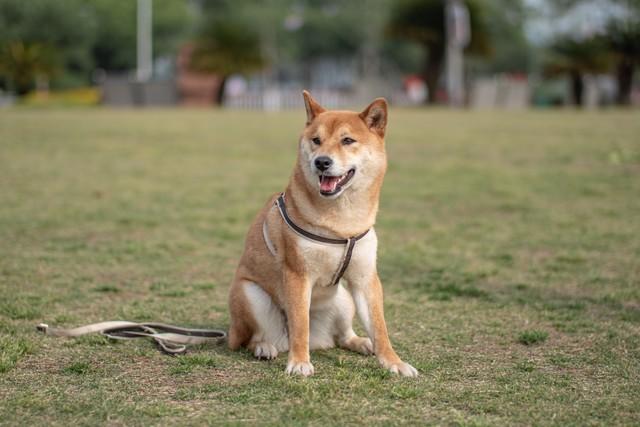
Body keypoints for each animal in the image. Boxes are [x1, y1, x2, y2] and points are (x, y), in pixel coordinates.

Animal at [228, 91, 418, 378]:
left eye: (347, 140)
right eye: (316, 140)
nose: (322, 161)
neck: (343, 220)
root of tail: (320, 341)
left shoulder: (365, 278)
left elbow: (380, 327)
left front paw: (393, 362)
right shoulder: (298, 275)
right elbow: (299, 325)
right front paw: (299, 362)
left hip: (345, 300)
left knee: (342, 336)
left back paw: (362, 342)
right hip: (250, 294)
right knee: (255, 337)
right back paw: (265, 347)